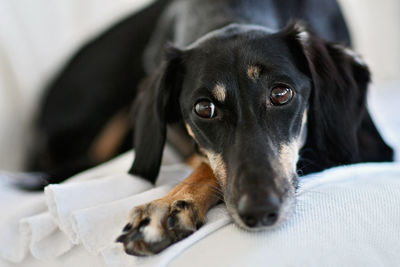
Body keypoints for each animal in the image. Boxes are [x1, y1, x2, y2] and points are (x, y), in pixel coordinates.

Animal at [26, 0, 392, 256]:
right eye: (204, 108)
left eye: (281, 93)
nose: (260, 212)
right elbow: (204, 161)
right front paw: (170, 205)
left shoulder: (366, 148)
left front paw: (170, 207)